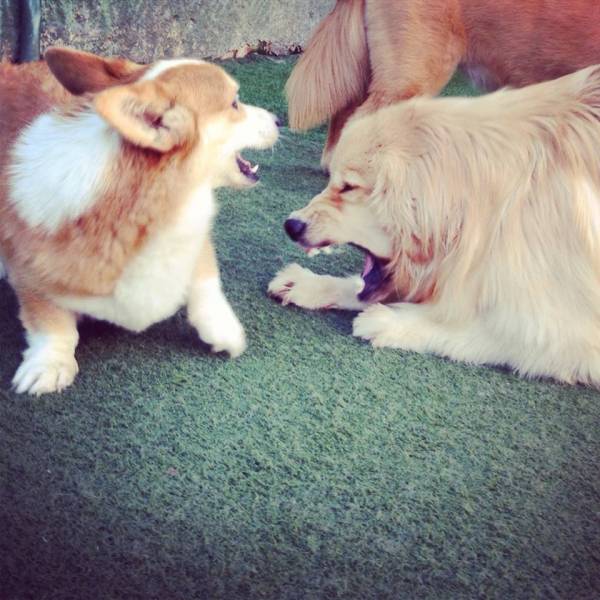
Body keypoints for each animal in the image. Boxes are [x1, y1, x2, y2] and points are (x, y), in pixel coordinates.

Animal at [0, 47, 280, 394]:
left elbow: (205, 281)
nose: (280, 119)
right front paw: (49, 364)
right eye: (234, 103)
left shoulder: (197, 235)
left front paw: (224, 330)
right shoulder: (28, 271)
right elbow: (51, 324)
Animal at [270, 64, 600, 384]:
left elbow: (486, 327)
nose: (291, 225)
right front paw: (308, 283)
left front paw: (392, 320)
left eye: (348, 187)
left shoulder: (569, 333)